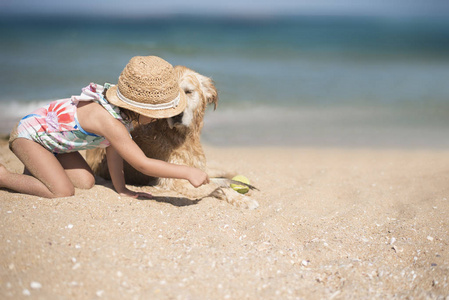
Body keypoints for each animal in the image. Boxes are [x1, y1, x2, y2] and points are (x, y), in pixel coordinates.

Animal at [86, 66, 260, 210]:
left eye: (188, 92)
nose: (177, 115)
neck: (181, 137)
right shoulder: (174, 179)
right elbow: (218, 186)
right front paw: (242, 199)